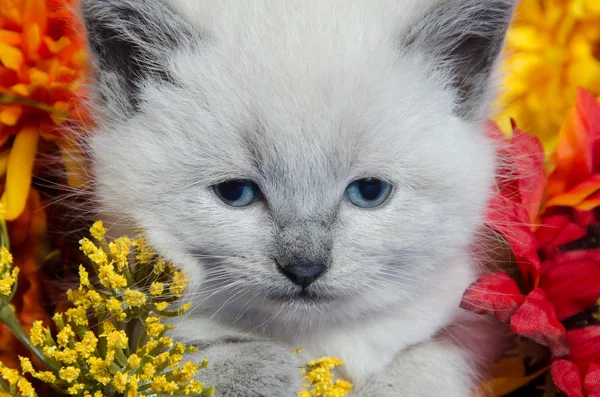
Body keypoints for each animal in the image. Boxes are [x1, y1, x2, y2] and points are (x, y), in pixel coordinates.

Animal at [79, 1, 516, 394]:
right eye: (235, 193)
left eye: (369, 192)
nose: (304, 268)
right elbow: (185, 360)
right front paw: (264, 368)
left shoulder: (467, 322)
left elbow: (426, 362)